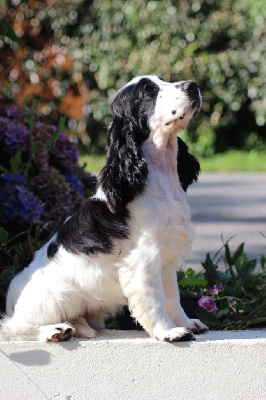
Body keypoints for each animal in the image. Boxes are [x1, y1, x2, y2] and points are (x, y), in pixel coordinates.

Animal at [0, 76, 208, 342]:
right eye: (149, 90)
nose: (193, 85)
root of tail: (10, 300)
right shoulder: (144, 259)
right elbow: (156, 299)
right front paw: (169, 332)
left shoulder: (167, 257)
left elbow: (173, 297)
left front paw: (186, 323)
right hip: (56, 297)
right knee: (14, 327)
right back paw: (55, 330)